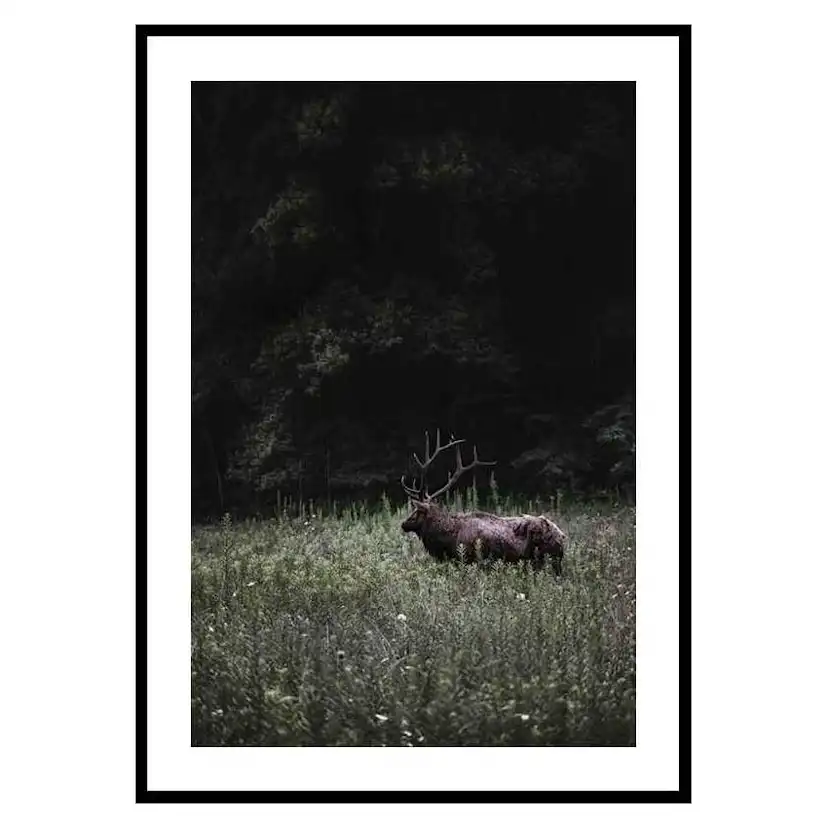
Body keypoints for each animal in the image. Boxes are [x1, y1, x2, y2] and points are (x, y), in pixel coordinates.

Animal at [400, 430, 565, 574]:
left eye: (416, 512)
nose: (403, 523)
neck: (448, 539)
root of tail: (562, 537)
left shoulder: (469, 560)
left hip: (546, 560)